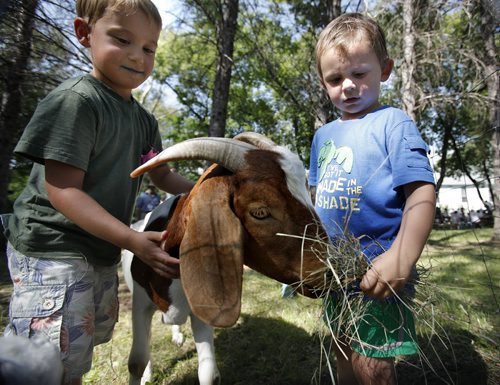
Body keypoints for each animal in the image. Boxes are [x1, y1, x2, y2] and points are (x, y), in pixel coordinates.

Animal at [124, 132, 328, 384]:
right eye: (260, 212)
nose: (333, 270)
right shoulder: (140, 302)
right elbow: (136, 361)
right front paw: (144, 373)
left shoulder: (204, 308)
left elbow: (209, 373)